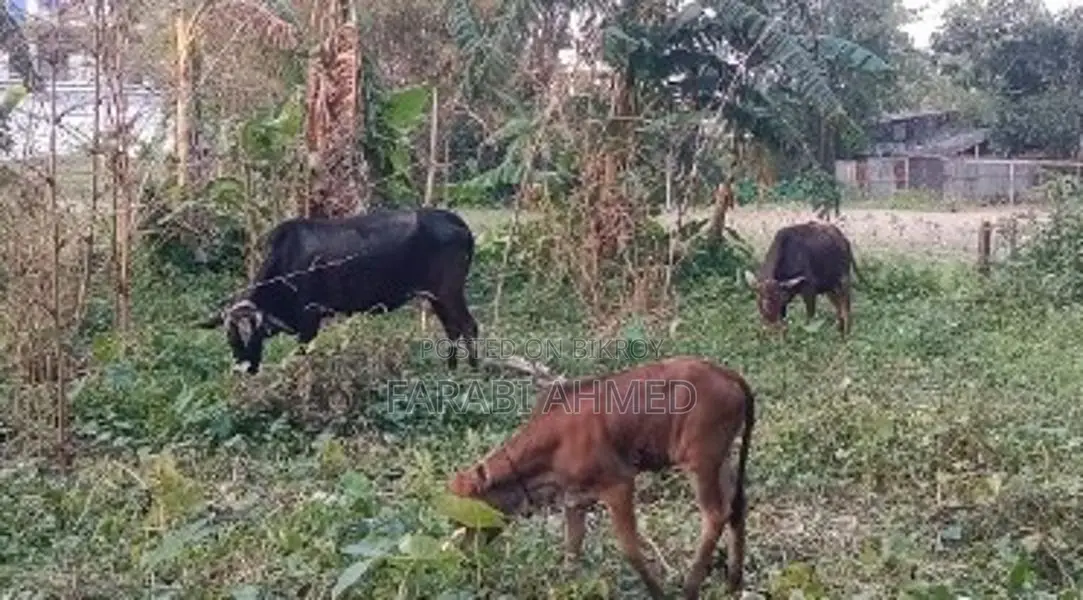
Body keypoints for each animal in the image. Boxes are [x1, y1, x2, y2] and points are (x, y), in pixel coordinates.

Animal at [197, 207, 479, 374]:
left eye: (255, 334)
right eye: (230, 336)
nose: (242, 370)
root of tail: (458, 221)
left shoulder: (310, 318)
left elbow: (303, 354)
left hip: (450, 291)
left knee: (468, 326)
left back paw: (474, 371)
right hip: (436, 296)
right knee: (452, 328)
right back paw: (451, 368)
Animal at [447, 356, 755, 599]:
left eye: (471, 515)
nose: (465, 559)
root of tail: (727, 374)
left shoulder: (618, 485)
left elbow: (629, 548)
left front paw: (658, 593)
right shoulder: (574, 499)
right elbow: (572, 552)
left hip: (701, 462)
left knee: (715, 514)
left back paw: (691, 587)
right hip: (722, 459)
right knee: (737, 505)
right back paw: (733, 582)